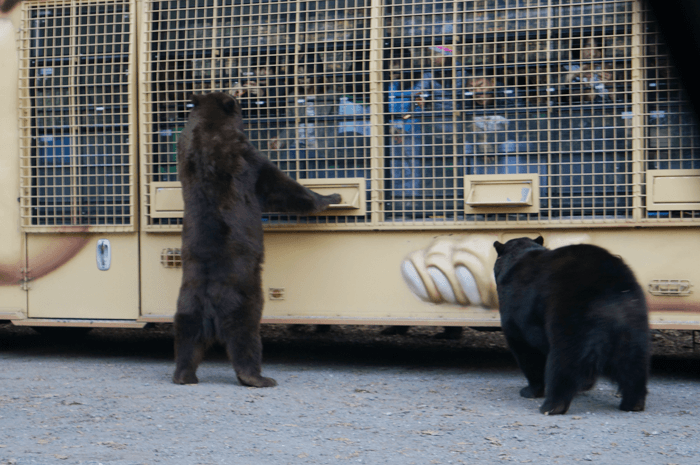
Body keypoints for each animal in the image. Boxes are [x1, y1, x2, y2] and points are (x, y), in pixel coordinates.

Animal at [174, 92, 340, 386]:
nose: (242, 100)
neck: (207, 128)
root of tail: (210, 302)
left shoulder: (186, 154)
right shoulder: (244, 157)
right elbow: (282, 186)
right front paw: (330, 197)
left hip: (188, 302)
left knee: (187, 337)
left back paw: (184, 374)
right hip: (243, 297)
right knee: (246, 335)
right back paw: (258, 377)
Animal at [492, 236, 652, 414]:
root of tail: (609, 292)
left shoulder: (517, 312)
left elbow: (526, 351)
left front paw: (530, 390)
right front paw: (584, 385)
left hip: (570, 317)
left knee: (564, 360)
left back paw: (552, 406)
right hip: (633, 320)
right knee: (633, 361)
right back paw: (633, 403)